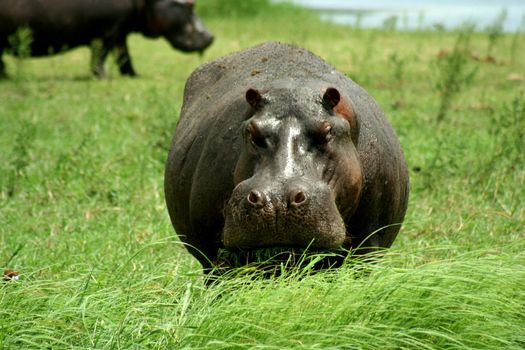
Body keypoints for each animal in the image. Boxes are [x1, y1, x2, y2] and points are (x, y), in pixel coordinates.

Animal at [0, 0, 213, 77]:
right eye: (191, 5)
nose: (211, 36)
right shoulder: (107, 32)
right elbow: (101, 56)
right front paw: (103, 77)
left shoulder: (119, 31)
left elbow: (124, 56)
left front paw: (133, 75)